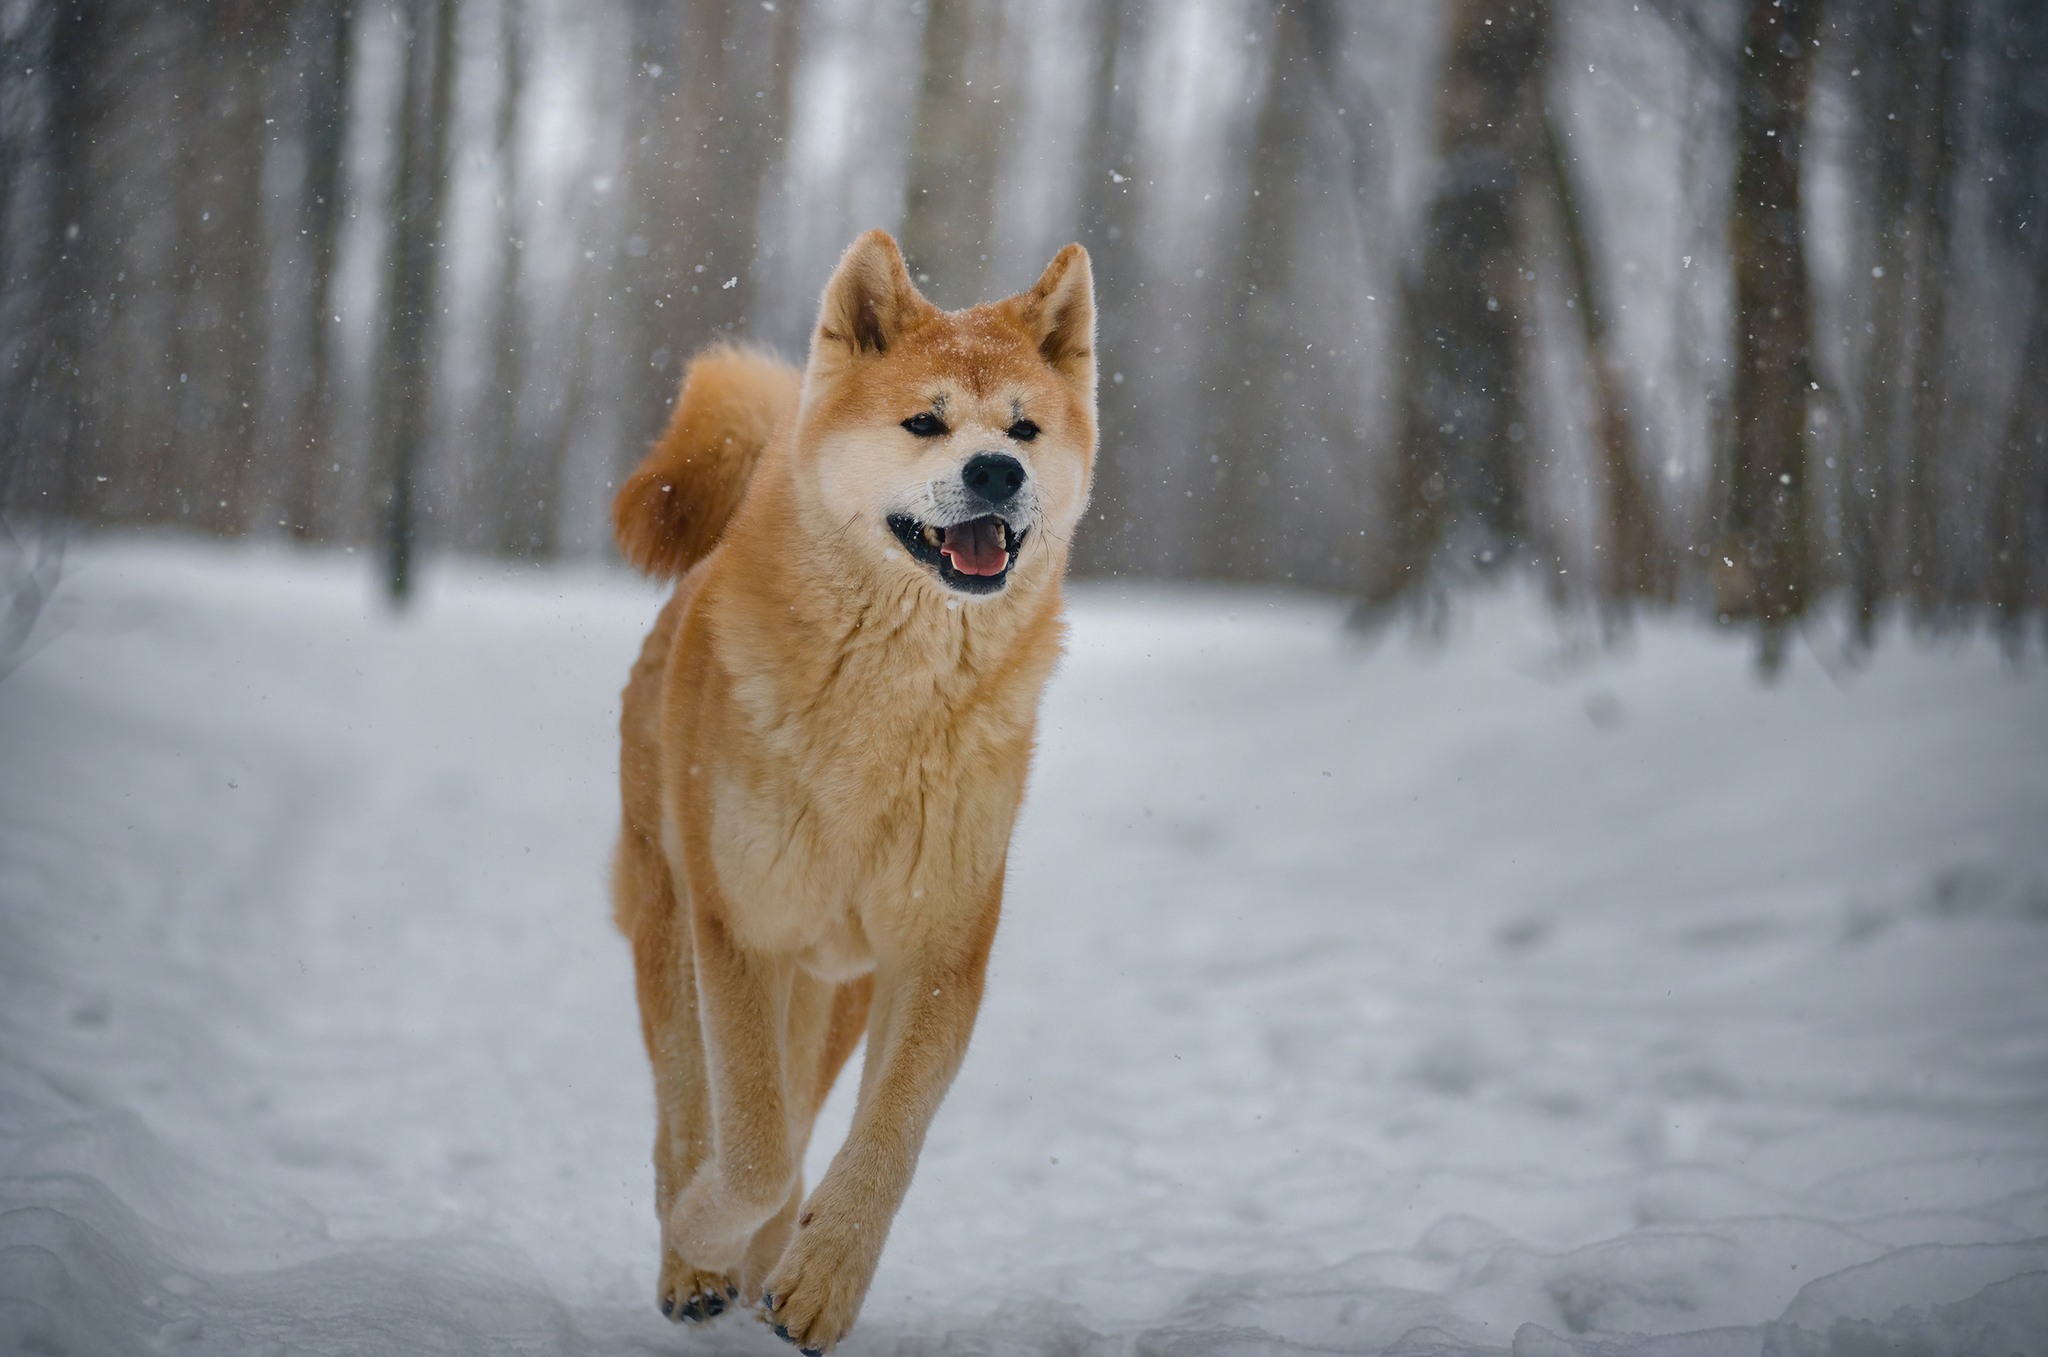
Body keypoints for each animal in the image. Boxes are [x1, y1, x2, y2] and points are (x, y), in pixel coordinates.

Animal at [602, 228, 1097, 1350]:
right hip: (676, 924)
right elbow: (747, 1146)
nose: (996, 469)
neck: (887, 708)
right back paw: (693, 1260)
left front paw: (822, 1275)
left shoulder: (938, 953)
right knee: (685, 1111)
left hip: (835, 987)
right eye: (925, 421)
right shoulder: (740, 928)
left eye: (1025, 427)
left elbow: (886, 1139)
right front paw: (701, 1232)